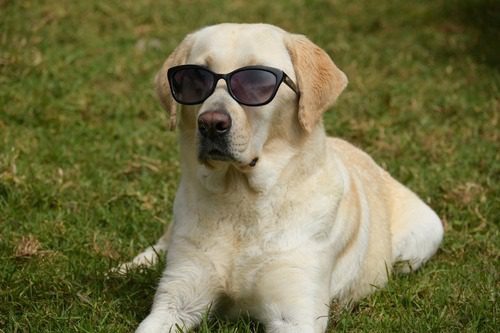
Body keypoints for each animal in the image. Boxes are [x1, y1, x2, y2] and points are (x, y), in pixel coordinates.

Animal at [123, 22, 444, 330]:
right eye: (192, 80)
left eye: (256, 83)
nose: (211, 123)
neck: (241, 201)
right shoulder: (176, 301)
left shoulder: (295, 313)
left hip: (422, 238)